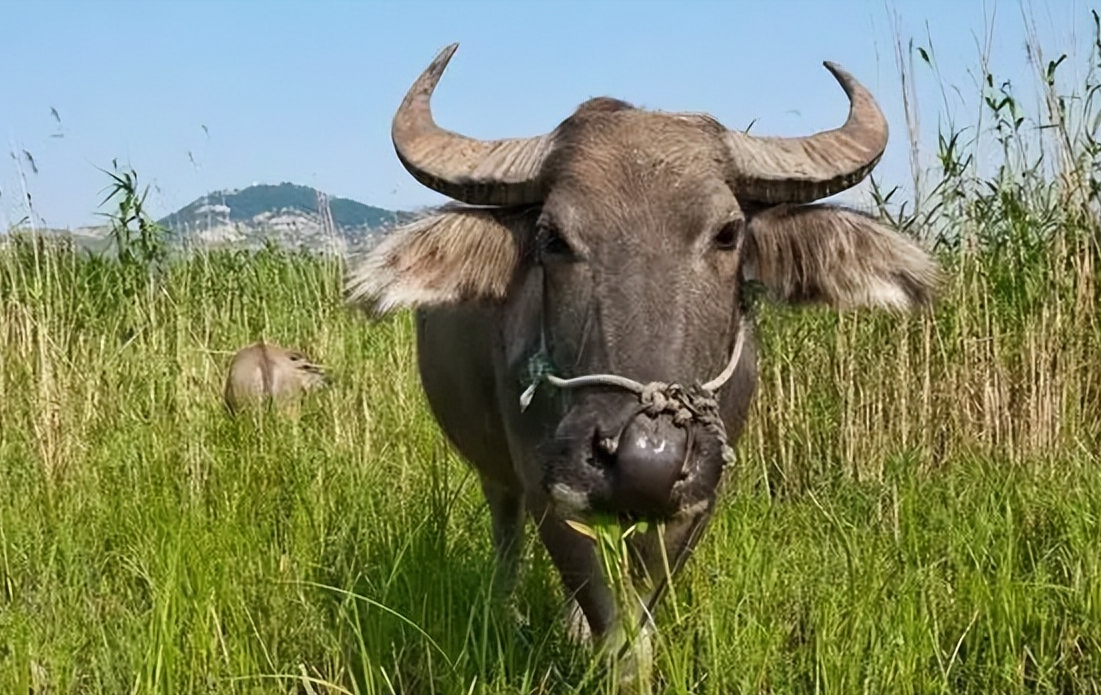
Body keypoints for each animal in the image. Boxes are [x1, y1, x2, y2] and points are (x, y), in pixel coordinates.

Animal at [345, 43, 938, 665]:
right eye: (552, 237)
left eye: (727, 233)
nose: (643, 459)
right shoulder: (546, 485)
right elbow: (603, 604)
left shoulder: (698, 494)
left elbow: (643, 594)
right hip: (495, 471)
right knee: (506, 531)